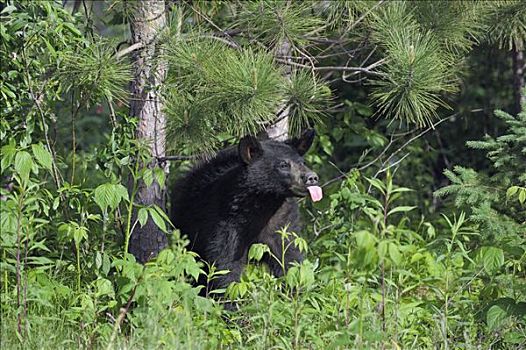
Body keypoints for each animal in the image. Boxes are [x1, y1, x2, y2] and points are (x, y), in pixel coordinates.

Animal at [171, 130, 324, 294]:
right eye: (283, 164)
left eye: (302, 162)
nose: (312, 177)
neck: (264, 203)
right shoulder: (226, 221)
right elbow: (225, 263)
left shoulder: (282, 221)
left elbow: (289, 255)